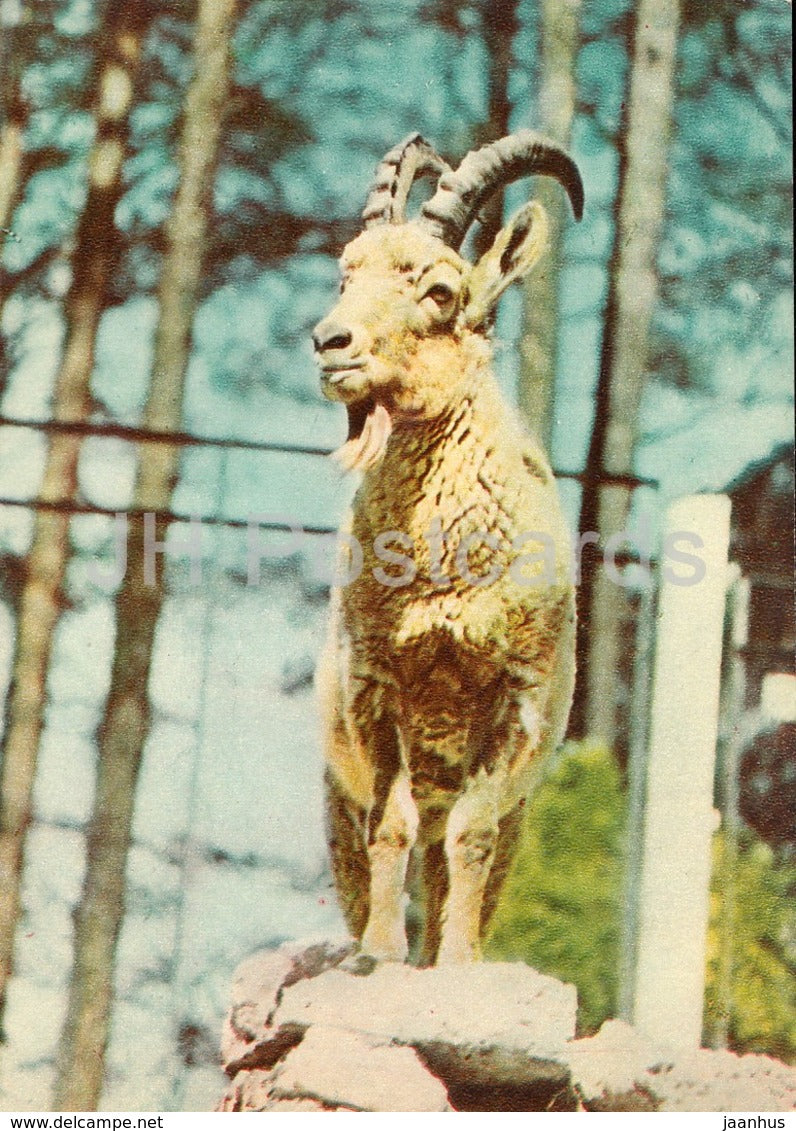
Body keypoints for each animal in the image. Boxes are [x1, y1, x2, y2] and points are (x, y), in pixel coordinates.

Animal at [313, 132, 582, 965]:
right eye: (347, 275)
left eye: (439, 291)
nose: (331, 343)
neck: (443, 572)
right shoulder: (376, 689)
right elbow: (391, 824)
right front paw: (381, 954)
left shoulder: (515, 698)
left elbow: (472, 837)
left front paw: (458, 963)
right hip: (335, 796)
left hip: (520, 812)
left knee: (453, 855)